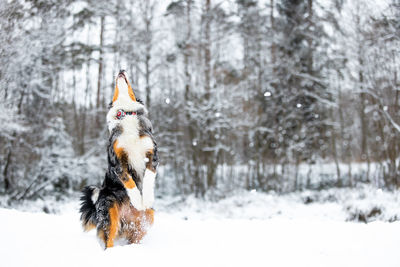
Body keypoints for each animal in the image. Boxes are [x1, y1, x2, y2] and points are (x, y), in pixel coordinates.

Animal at [79, 70, 159, 249]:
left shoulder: (152, 154)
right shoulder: (117, 161)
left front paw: (146, 199)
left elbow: (148, 177)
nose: (121, 70)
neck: (126, 114)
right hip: (109, 212)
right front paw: (137, 200)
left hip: (147, 217)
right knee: (108, 239)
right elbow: (129, 181)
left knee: (135, 235)